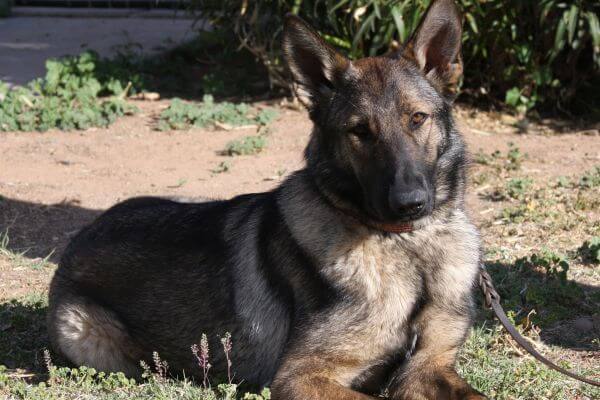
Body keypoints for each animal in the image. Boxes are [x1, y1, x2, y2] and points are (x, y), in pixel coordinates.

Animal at [48, 1, 488, 398]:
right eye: (360, 131)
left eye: (417, 119)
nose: (409, 203)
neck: (407, 246)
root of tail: (84, 234)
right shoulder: (301, 375)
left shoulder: (429, 365)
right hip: (84, 333)